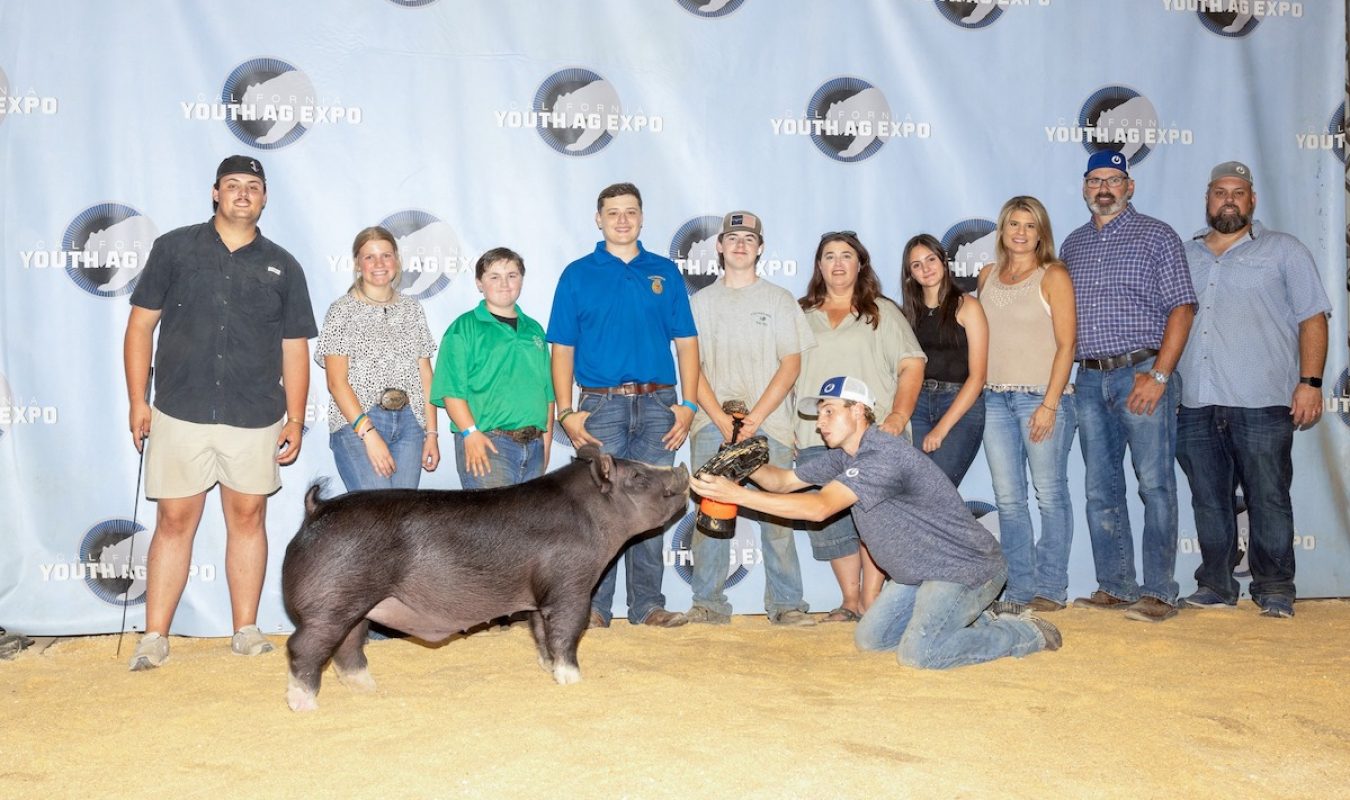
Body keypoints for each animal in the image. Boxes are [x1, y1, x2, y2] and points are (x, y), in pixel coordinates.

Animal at [280, 442, 691, 712]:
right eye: (637, 476)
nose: (682, 469)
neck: (594, 518)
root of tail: (316, 509)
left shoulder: (539, 597)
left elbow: (541, 633)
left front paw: (548, 670)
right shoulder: (569, 584)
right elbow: (567, 631)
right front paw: (574, 680)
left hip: (357, 604)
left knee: (348, 645)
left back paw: (368, 689)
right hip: (330, 602)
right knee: (304, 647)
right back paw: (305, 705)